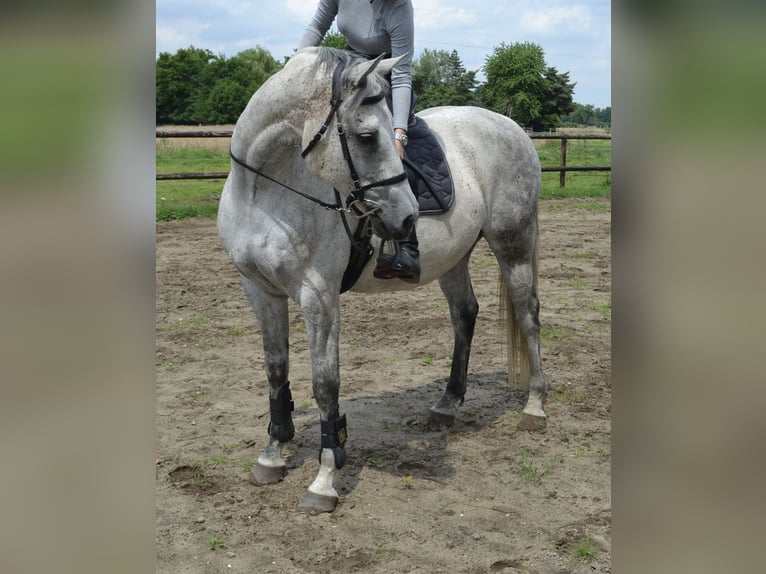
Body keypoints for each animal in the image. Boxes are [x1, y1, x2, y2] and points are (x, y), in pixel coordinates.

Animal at [216, 46, 544, 512]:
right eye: (368, 136)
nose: (407, 216)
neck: (262, 194)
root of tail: (512, 126)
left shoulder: (318, 296)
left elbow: (325, 383)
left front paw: (325, 478)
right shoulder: (260, 291)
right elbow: (276, 371)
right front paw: (272, 455)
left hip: (513, 244)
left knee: (528, 314)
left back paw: (535, 407)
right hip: (454, 259)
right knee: (465, 314)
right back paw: (447, 404)